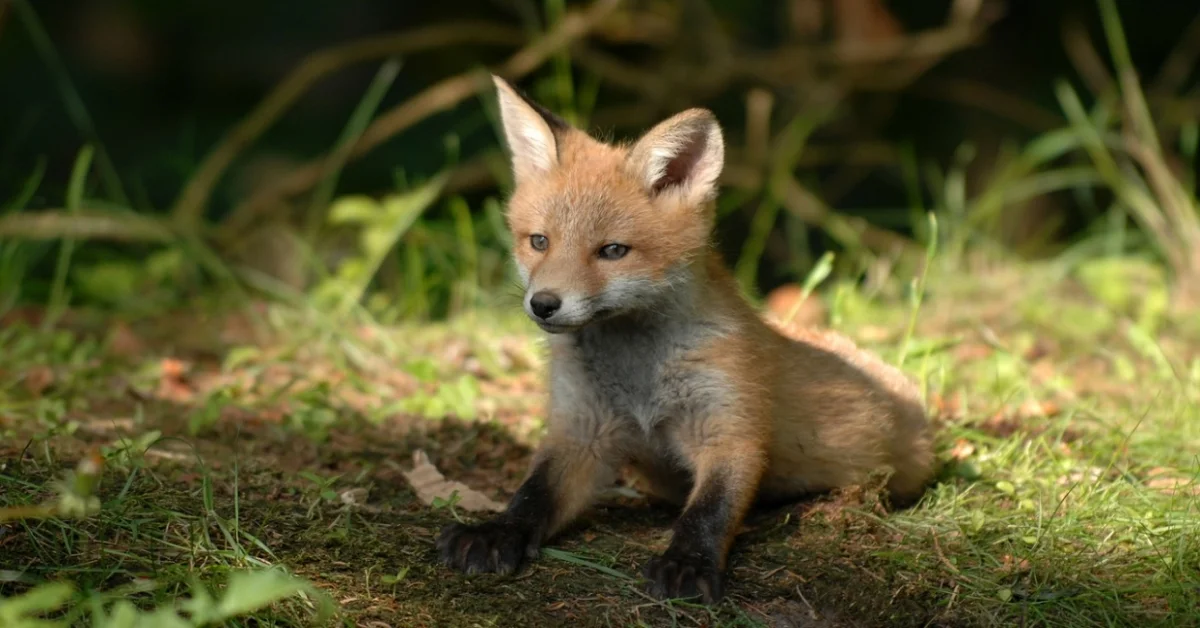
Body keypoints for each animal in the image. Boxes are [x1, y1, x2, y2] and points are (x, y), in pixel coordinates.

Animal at [436, 75, 935, 603]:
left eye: (612, 251)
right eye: (539, 242)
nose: (544, 304)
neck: (638, 375)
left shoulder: (729, 426)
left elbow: (710, 509)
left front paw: (688, 563)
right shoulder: (582, 429)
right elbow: (534, 493)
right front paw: (496, 531)